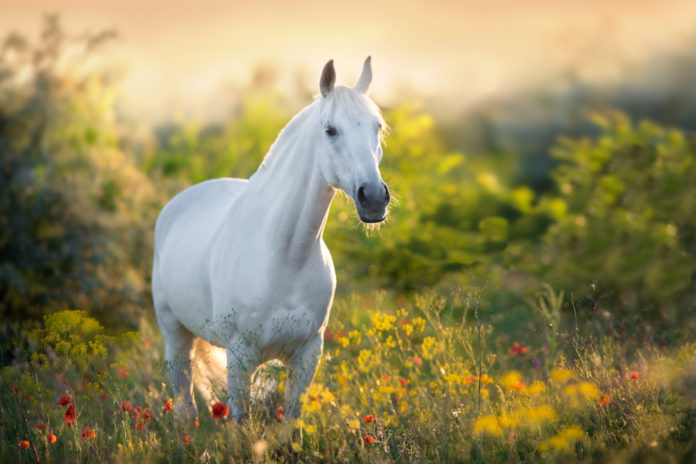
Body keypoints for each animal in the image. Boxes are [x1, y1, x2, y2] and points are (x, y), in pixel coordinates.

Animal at [152, 57, 390, 421]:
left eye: (377, 127)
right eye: (330, 130)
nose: (374, 198)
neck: (285, 256)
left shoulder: (307, 355)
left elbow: (290, 421)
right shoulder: (239, 356)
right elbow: (240, 422)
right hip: (175, 337)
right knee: (184, 404)